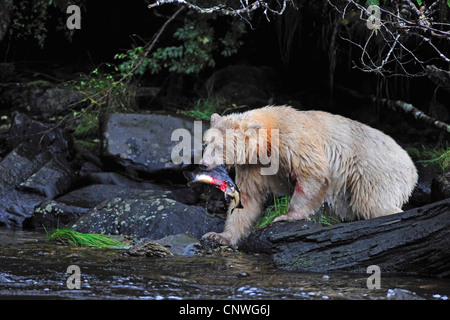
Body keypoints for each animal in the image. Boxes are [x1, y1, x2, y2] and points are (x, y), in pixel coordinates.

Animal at [200, 106, 418, 246]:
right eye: (206, 143)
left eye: (219, 147)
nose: (204, 164)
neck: (268, 134)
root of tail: (413, 169)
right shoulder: (253, 164)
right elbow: (248, 197)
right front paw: (218, 236)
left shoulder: (292, 140)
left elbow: (313, 174)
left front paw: (285, 216)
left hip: (374, 170)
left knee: (372, 203)